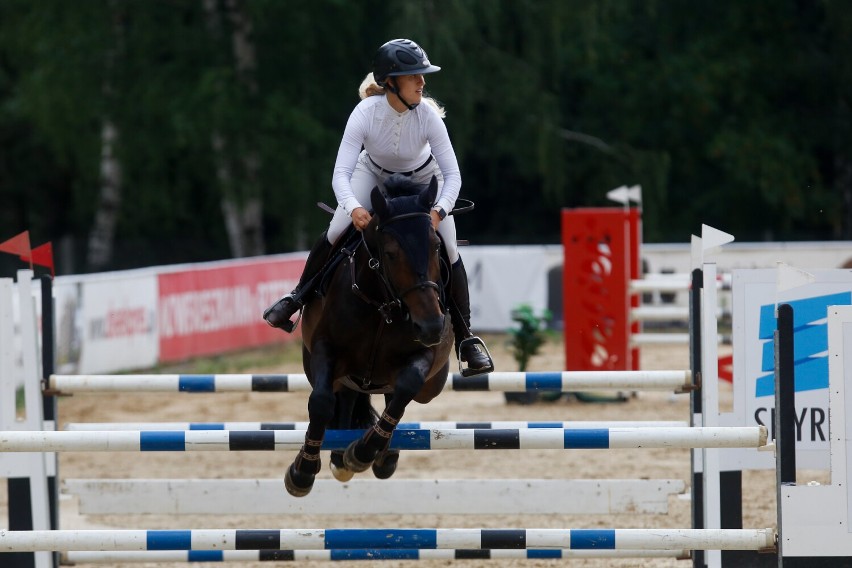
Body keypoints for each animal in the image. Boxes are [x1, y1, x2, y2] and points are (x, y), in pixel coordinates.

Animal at [284, 174, 456, 496]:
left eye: (437, 247)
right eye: (390, 253)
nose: (431, 326)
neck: (383, 304)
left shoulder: (426, 353)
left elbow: (405, 390)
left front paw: (364, 452)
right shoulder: (325, 349)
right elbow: (321, 401)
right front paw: (302, 471)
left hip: (431, 385)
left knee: (393, 396)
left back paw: (381, 455)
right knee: (346, 395)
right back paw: (339, 456)